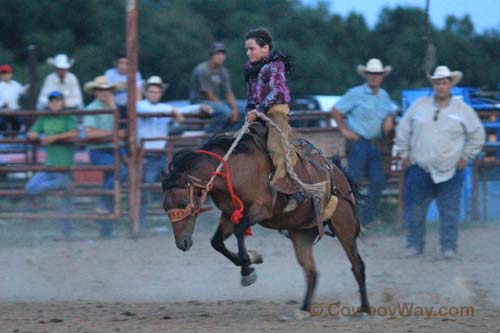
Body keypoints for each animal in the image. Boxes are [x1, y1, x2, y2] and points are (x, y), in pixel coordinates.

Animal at [162, 129, 370, 314]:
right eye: (165, 206)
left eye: (183, 202)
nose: (182, 243)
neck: (237, 170)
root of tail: (339, 175)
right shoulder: (230, 214)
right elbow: (217, 242)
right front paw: (252, 259)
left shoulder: (260, 210)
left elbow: (239, 232)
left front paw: (248, 268)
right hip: (301, 233)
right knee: (311, 272)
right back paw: (303, 309)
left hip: (344, 225)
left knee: (357, 265)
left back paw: (364, 309)